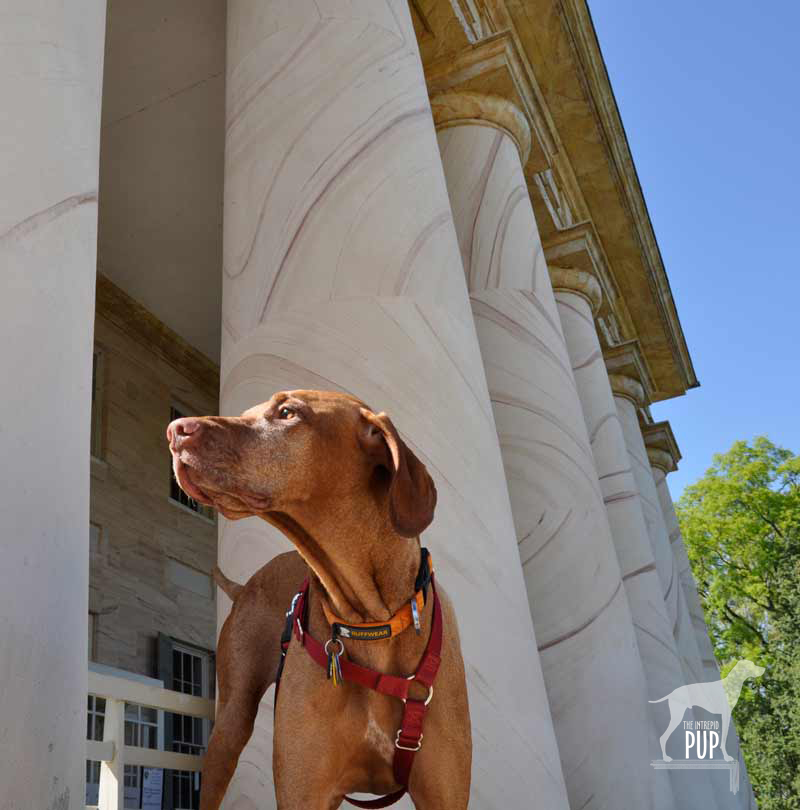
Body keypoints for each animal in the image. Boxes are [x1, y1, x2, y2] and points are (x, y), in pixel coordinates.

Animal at [166, 388, 472, 804]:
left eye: (287, 412)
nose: (174, 431)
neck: (372, 620)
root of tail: (245, 586)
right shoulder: (305, 790)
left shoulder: (444, 793)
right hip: (229, 725)